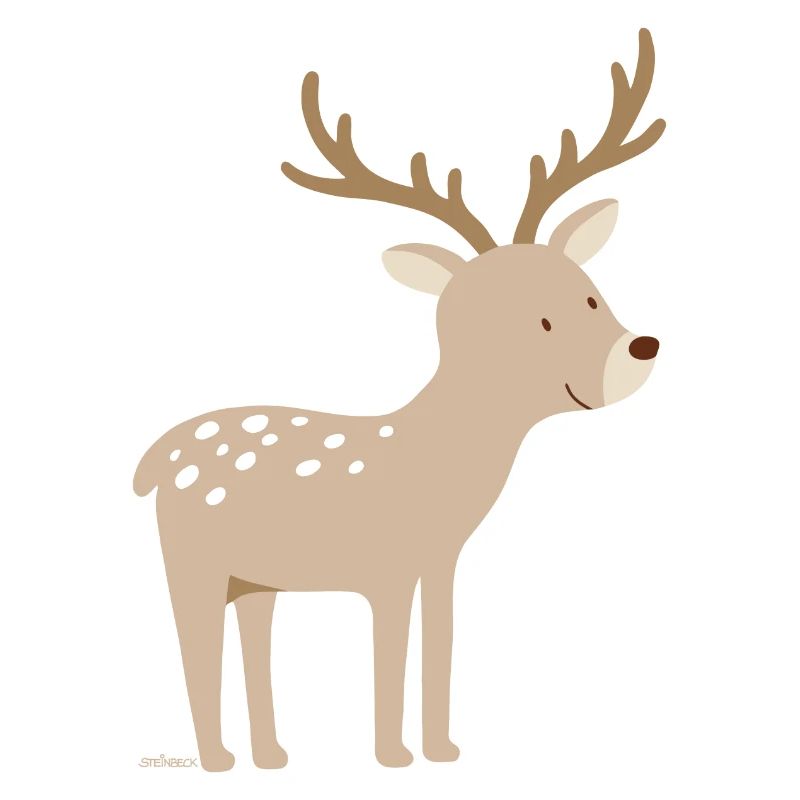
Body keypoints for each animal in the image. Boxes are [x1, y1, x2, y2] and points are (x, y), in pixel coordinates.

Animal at [133, 28, 665, 771]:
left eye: (589, 294)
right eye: (534, 322)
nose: (639, 349)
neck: (433, 461)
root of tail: (152, 463)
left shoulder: (440, 561)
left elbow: (440, 640)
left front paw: (442, 749)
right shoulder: (382, 564)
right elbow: (390, 650)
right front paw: (392, 756)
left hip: (257, 579)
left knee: (251, 642)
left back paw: (273, 756)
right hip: (191, 560)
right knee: (193, 649)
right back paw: (217, 761)